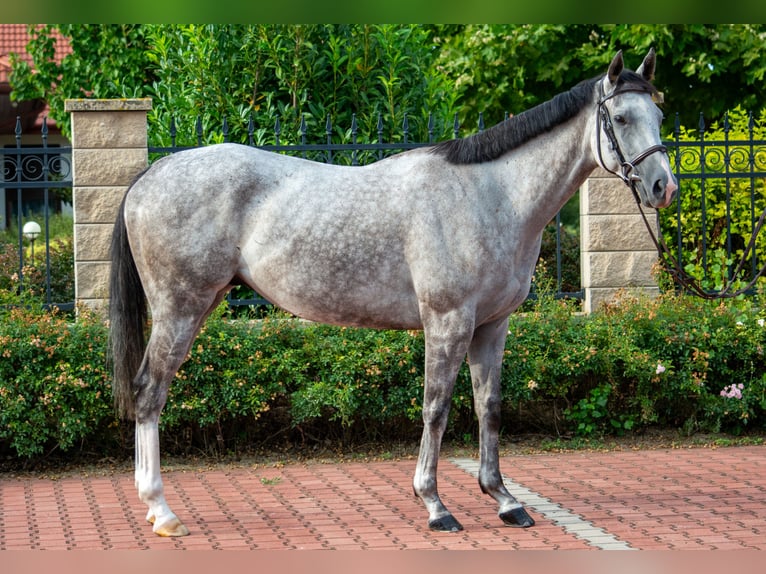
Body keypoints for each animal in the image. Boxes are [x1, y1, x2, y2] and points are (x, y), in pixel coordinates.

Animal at [109, 49, 680, 540]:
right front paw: (435, 505)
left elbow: (490, 407)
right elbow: (436, 407)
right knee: (149, 392)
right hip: (179, 310)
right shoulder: (448, 321)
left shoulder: (492, 326)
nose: (663, 188)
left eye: (658, 113)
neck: (491, 194)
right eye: (620, 118)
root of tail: (148, 176)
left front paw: (504, 500)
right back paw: (161, 510)